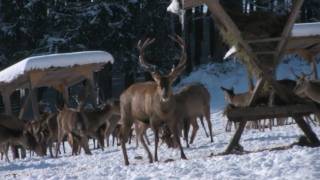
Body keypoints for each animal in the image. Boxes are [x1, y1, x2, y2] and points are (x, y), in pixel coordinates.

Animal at [120, 34, 188, 165]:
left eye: (170, 83)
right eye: (158, 84)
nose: (165, 95)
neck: (163, 112)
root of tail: (122, 95)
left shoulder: (172, 118)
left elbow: (177, 136)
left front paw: (184, 156)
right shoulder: (153, 119)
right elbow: (156, 139)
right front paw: (157, 158)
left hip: (142, 120)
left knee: (140, 135)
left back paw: (149, 157)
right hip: (126, 115)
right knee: (123, 136)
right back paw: (127, 161)